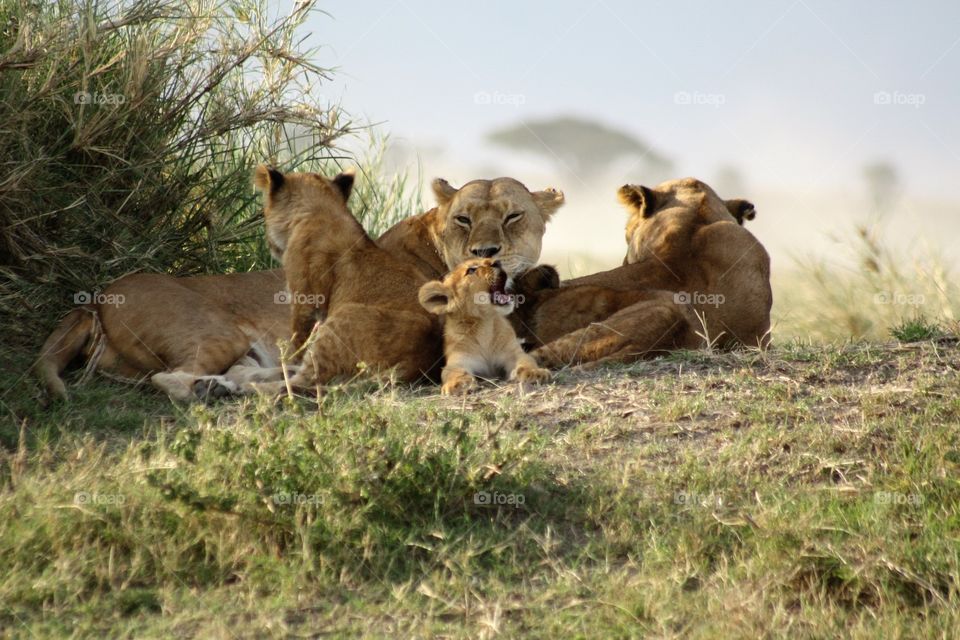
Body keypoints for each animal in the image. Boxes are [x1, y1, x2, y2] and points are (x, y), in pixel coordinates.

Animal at [252, 165, 443, 389]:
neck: (322, 210)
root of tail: (419, 362)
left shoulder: (306, 300)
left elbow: (298, 342)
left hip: (339, 322)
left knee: (303, 381)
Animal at [418, 258, 550, 395]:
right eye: (471, 270)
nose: (497, 262)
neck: (484, 324)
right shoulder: (458, 360)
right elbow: (453, 372)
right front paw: (458, 384)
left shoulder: (513, 352)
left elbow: (526, 361)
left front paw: (534, 373)